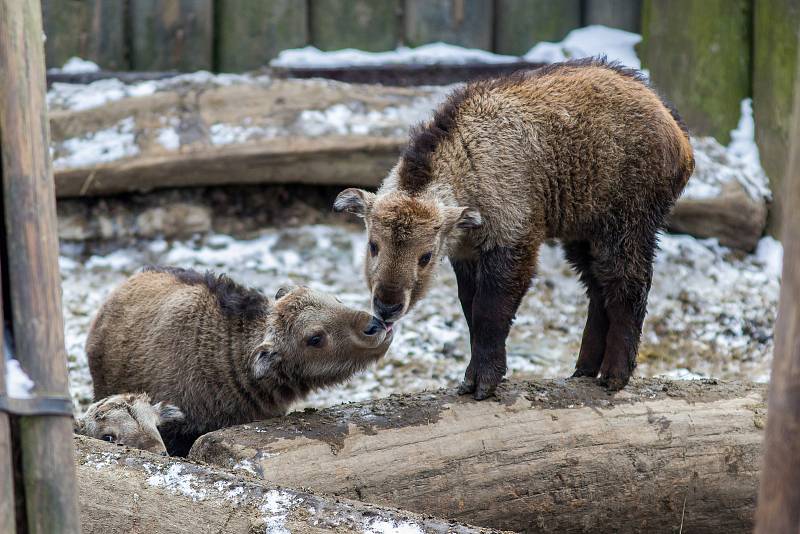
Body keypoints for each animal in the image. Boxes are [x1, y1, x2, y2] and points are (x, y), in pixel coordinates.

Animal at [334, 59, 692, 402]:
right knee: (598, 290)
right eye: (373, 245)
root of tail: (681, 139)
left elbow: (489, 314)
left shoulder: (514, 244)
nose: (387, 307)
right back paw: (584, 370)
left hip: (625, 227)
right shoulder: (468, 257)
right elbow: (471, 311)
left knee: (628, 288)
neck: (470, 162)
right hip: (583, 234)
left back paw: (615, 375)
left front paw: (482, 382)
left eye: (426, 256)